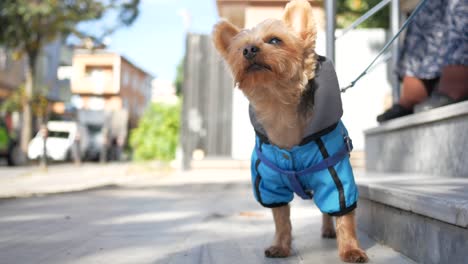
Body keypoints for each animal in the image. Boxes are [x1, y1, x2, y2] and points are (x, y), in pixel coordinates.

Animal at [212, 0, 370, 262]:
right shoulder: (269, 185)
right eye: (240, 49)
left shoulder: (334, 175)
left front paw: (351, 250)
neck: (279, 107)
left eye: (275, 40)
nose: (249, 50)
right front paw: (280, 246)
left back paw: (329, 231)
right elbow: (281, 220)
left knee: (326, 211)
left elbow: (343, 214)